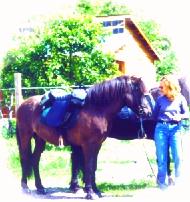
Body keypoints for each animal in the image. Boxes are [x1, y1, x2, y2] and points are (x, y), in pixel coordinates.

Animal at [15, 75, 153, 199]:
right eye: (138, 91)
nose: (148, 112)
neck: (96, 109)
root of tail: (23, 104)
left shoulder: (97, 145)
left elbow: (93, 167)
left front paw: (96, 191)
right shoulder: (88, 145)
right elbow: (88, 166)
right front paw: (90, 192)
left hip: (40, 139)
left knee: (35, 159)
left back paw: (40, 187)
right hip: (25, 135)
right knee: (24, 158)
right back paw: (25, 187)